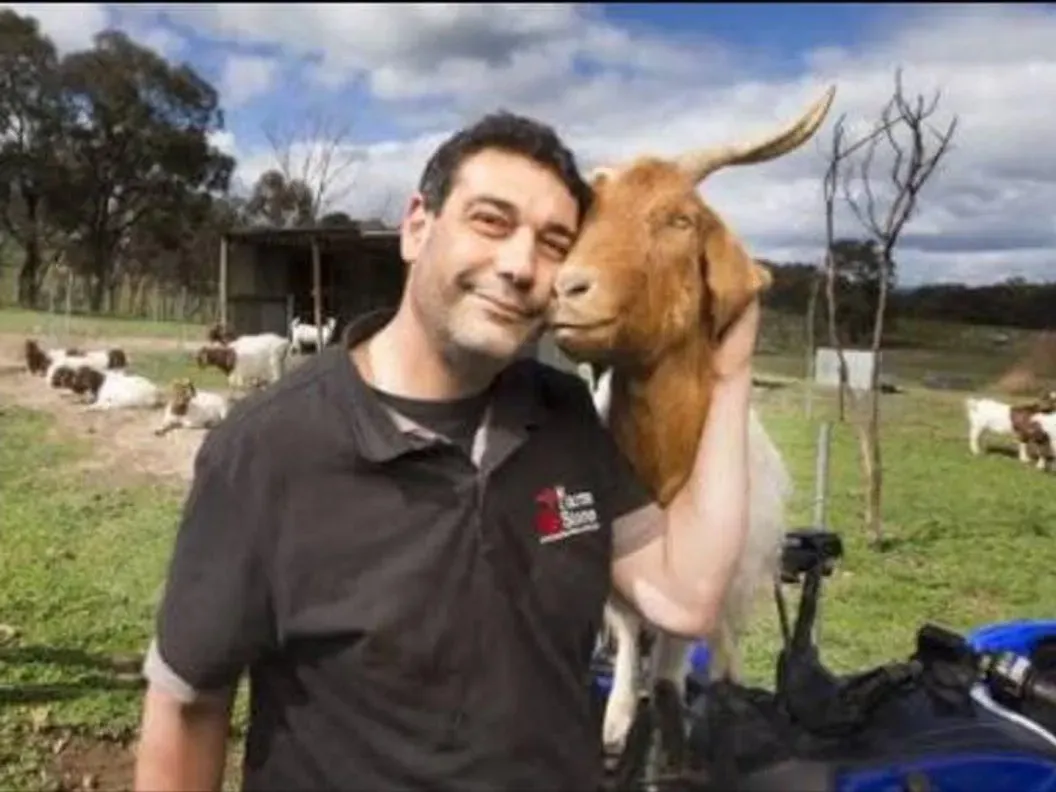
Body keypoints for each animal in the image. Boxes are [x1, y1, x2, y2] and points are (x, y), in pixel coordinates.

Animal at [548, 87, 835, 753]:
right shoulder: (620, 578)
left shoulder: (709, 581)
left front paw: (671, 710)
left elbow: (676, 650)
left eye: (679, 220)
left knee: (723, 641)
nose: (567, 288)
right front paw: (617, 722)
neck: (666, 467)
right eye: (585, 218)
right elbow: (633, 633)